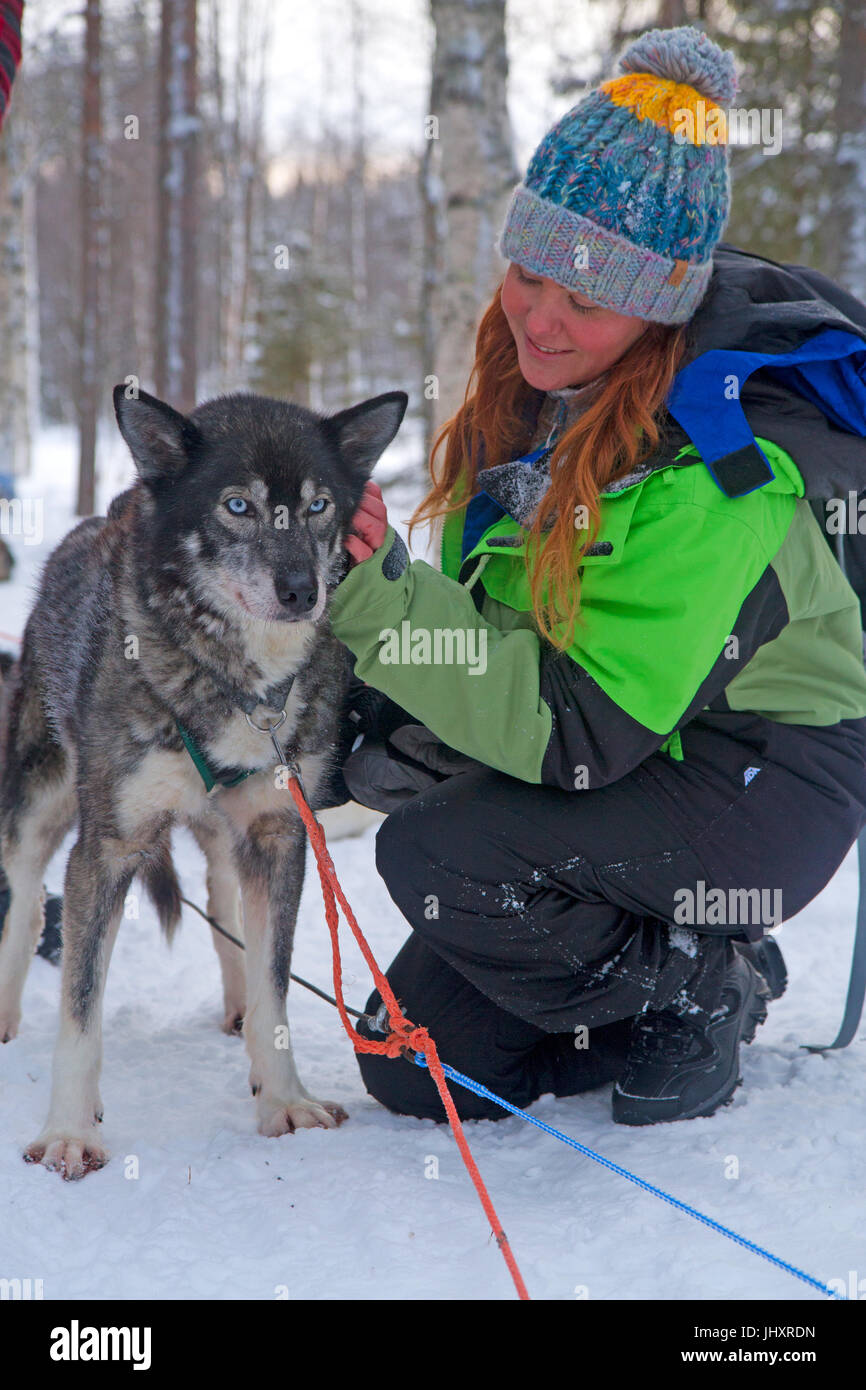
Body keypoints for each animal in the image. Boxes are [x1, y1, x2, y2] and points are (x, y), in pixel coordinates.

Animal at [0, 386, 408, 1178]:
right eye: (237, 506)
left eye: (318, 506)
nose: (301, 591)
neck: (236, 681)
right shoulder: (110, 847)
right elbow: (80, 1009)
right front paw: (69, 1131)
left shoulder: (281, 834)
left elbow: (275, 984)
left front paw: (284, 1100)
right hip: (39, 803)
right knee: (27, 905)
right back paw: (3, 1014)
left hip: (228, 835)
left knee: (225, 904)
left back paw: (238, 1013)